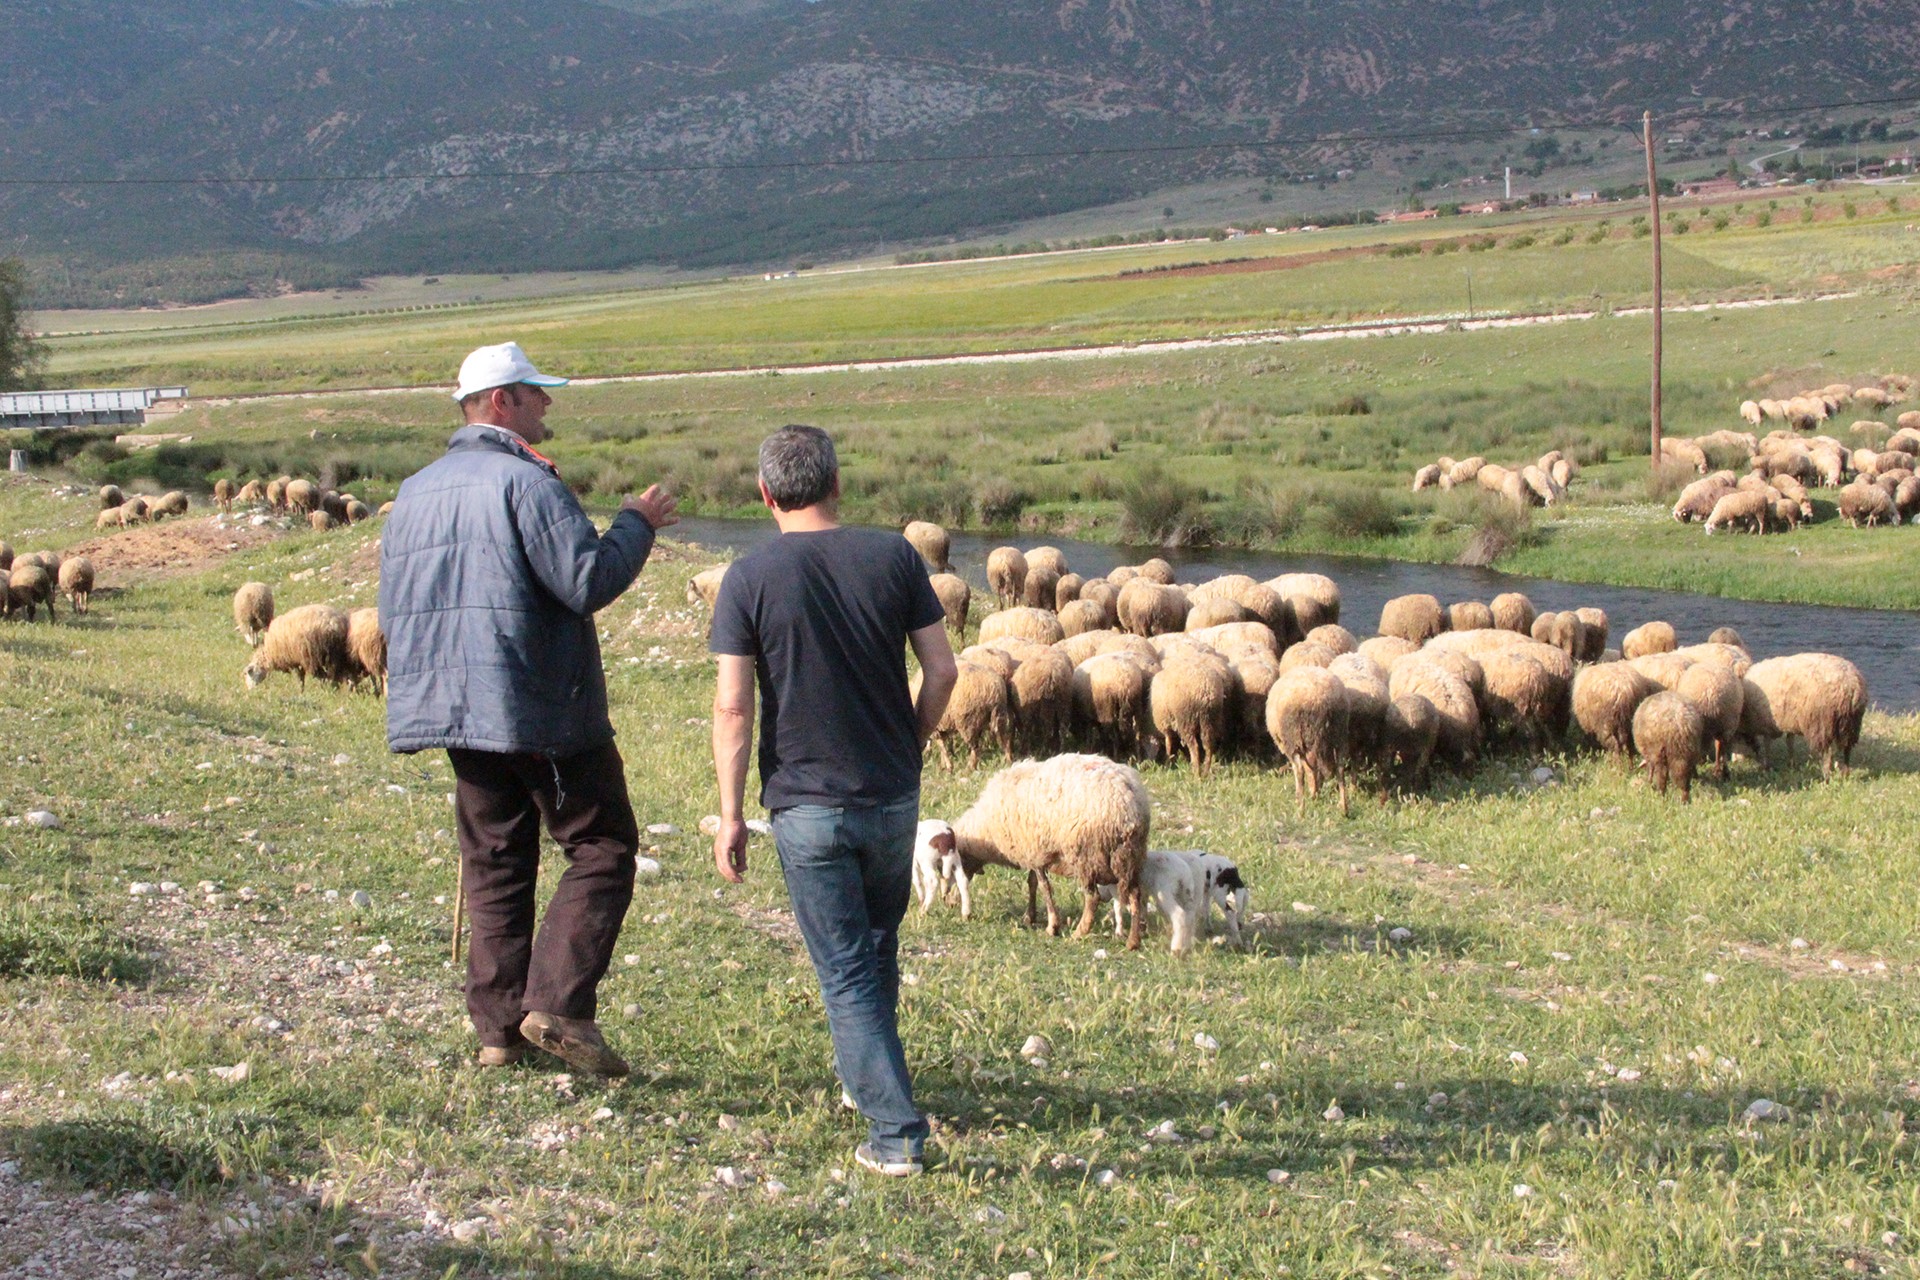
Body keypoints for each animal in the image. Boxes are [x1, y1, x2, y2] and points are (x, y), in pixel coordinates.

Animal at [944, 756, 1136, 948]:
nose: (947, 901)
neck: (987, 829)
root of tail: (1130, 805)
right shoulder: (1032, 852)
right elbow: (1032, 883)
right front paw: (1030, 917)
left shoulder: (1034, 850)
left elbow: (1044, 887)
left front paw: (1052, 926)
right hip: (1131, 858)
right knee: (1134, 896)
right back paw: (1133, 940)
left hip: (1088, 856)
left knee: (1093, 897)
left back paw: (1080, 932)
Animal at [1267, 667, 1359, 817]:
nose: (1314, 794)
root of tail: (1318, 700)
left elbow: (1303, 770)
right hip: (1339, 734)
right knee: (1340, 768)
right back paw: (1344, 808)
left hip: (1294, 738)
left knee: (1299, 770)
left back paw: (1301, 809)